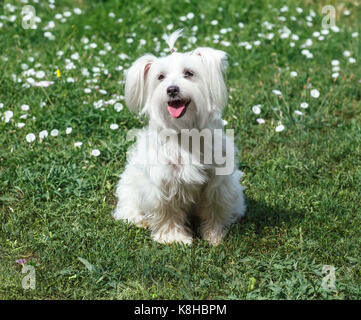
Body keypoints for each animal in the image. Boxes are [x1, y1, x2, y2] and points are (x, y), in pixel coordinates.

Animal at [114, 30, 246, 245]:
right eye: (160, 77)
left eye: (189, 73)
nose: (172, 89)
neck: (184, 131)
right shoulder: (162, 184)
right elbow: (167, 212)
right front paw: (174, 238)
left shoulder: (217, 183)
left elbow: (214, 208)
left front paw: (214, 235)